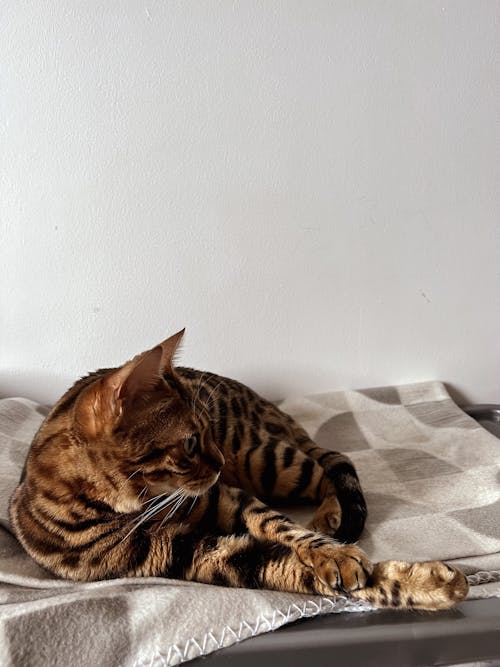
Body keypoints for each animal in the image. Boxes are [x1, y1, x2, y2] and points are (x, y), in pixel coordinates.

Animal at [8, 330, 468, 612]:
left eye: (206, 432)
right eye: (191, 443)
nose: (219, 465)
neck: (132, 506)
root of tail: (267, 405)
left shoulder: (226, 495)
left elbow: (282, 526)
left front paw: (333, 552)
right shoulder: (184, 554)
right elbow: (287, 568)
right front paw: (426, 585)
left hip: (266, 462)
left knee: (331, 464)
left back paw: (330, 515)